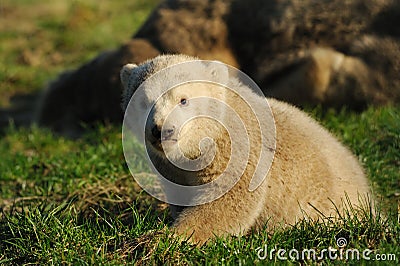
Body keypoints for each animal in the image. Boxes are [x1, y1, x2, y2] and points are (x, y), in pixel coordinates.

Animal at [119, 54, 372, 245]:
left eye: (183, 100)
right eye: (143, 102)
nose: (161, 130)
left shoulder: (239, 149)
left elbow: (228, 201)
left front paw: (165, 238)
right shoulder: (170, 167)